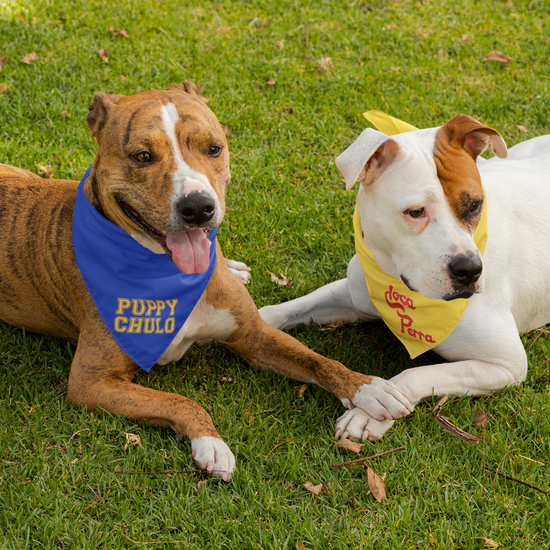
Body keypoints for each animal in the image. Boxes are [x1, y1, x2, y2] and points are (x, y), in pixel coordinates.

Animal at [0, 83, 410, 484]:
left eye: (213, 148)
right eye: (142, 156)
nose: (198, 207)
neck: (169, 274)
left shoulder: (252, 335)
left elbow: (318, 360)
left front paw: (369, 389)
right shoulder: (92, 381)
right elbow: (179, 400)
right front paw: (210, 442)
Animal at [260, 115, 550, 444]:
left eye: (475, 205)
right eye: (415, 212)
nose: (470, 270)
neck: (397, 282)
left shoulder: (506, 363)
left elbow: (418, 374)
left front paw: (369, 411)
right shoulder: (354, 295)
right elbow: (290, 308)